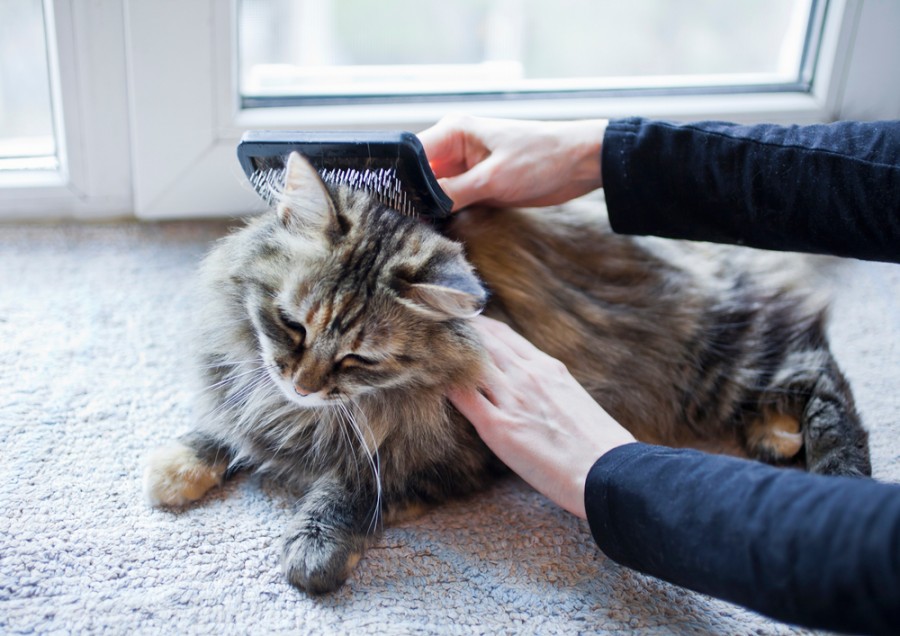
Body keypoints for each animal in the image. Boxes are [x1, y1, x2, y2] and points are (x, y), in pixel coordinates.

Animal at [142, 152, 872, 592]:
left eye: (357, 360)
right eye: (292, 326)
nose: (302, 385)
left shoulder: (447, 458)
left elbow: (350, 488)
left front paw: (312, 553)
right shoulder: (252, 395)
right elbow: (228, 427)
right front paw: (176, 469)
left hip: (725, 360)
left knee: (825, 379)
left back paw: (833, 475)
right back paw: (774, 434)